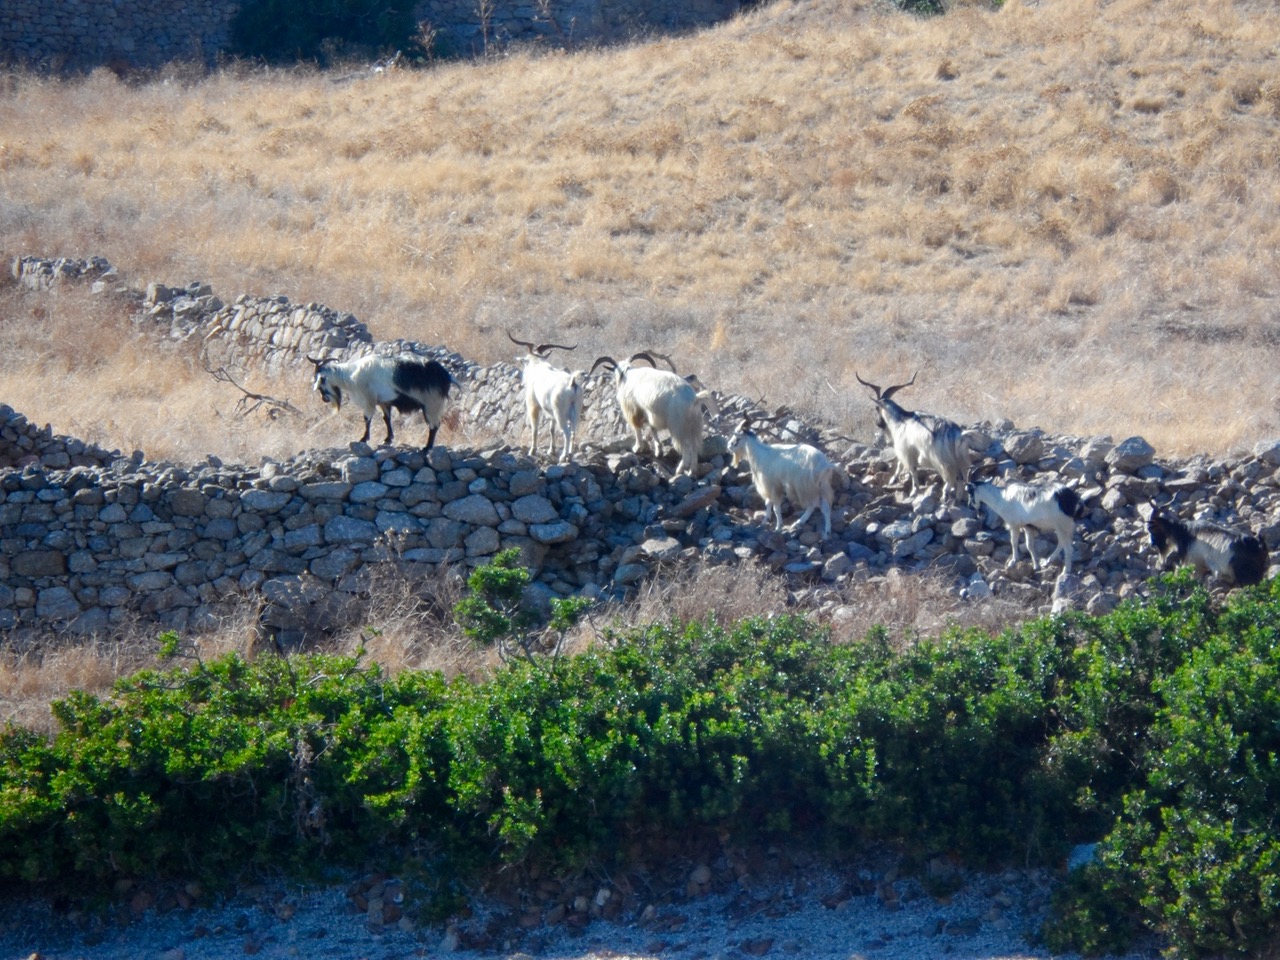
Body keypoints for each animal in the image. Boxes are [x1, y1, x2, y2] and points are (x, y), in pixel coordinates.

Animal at [307, 353, 458, 455]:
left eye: (320, 381)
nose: (324, 399)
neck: (350, 374)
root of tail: (446, 376)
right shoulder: (384, 402)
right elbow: (387, 419)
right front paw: (388, 439)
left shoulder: (369, 400)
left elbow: (367, 419)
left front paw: (363, 439)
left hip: (432, 403)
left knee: (434, 425)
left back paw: (427, 447)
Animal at [509, 332, 588, 463]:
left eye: (524, 363)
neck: (538, 365)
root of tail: (572, 384)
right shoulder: (551, 413)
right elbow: (551, 429)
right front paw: (551, 450)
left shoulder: (534, 406)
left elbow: (535, 428)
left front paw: (532, 451)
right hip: (575, 412)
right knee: (573, 432)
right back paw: (570, 454)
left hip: (560, 413)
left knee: (566, 432)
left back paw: (563, 456)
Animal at [591, 350, 721, 478]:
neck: (627, 374)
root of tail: (694, 399)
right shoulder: (650, 414)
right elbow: (653, 429)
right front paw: (658, 451)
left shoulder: (634, 410)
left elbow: (637, 429)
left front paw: (637, 448)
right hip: (694, 426)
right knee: (694, 447)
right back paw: (692, 471)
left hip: (678, 427)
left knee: (686, 449)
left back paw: (679, 470)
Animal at [860, 371, 967, 504]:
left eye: (876, 408)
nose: (878, 423)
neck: (901, 420)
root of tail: (955, 433)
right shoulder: (906, 451)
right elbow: (901, 464)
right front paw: (893, 480)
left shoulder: (906, 451)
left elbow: (912, 469)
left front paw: (913, 491)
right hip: (958, 458)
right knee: (960, 478)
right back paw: (958, 498)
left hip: (942, 459)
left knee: (950, 476)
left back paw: (945, 495)